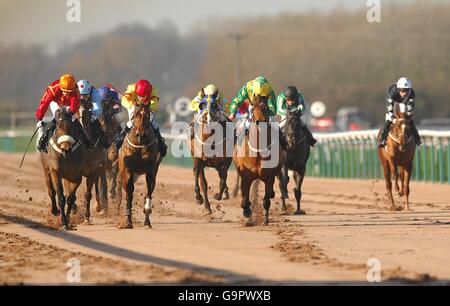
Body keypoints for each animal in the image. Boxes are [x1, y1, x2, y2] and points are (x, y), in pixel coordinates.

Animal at [232, 95, 284, 225]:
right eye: (253, 108)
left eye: (266, 107)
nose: (261, 121)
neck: (259, 150)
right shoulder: (246, 176)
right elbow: (244, 199)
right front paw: (247, 212)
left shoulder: (269, 177)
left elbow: (266, 200)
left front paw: (265, 219)